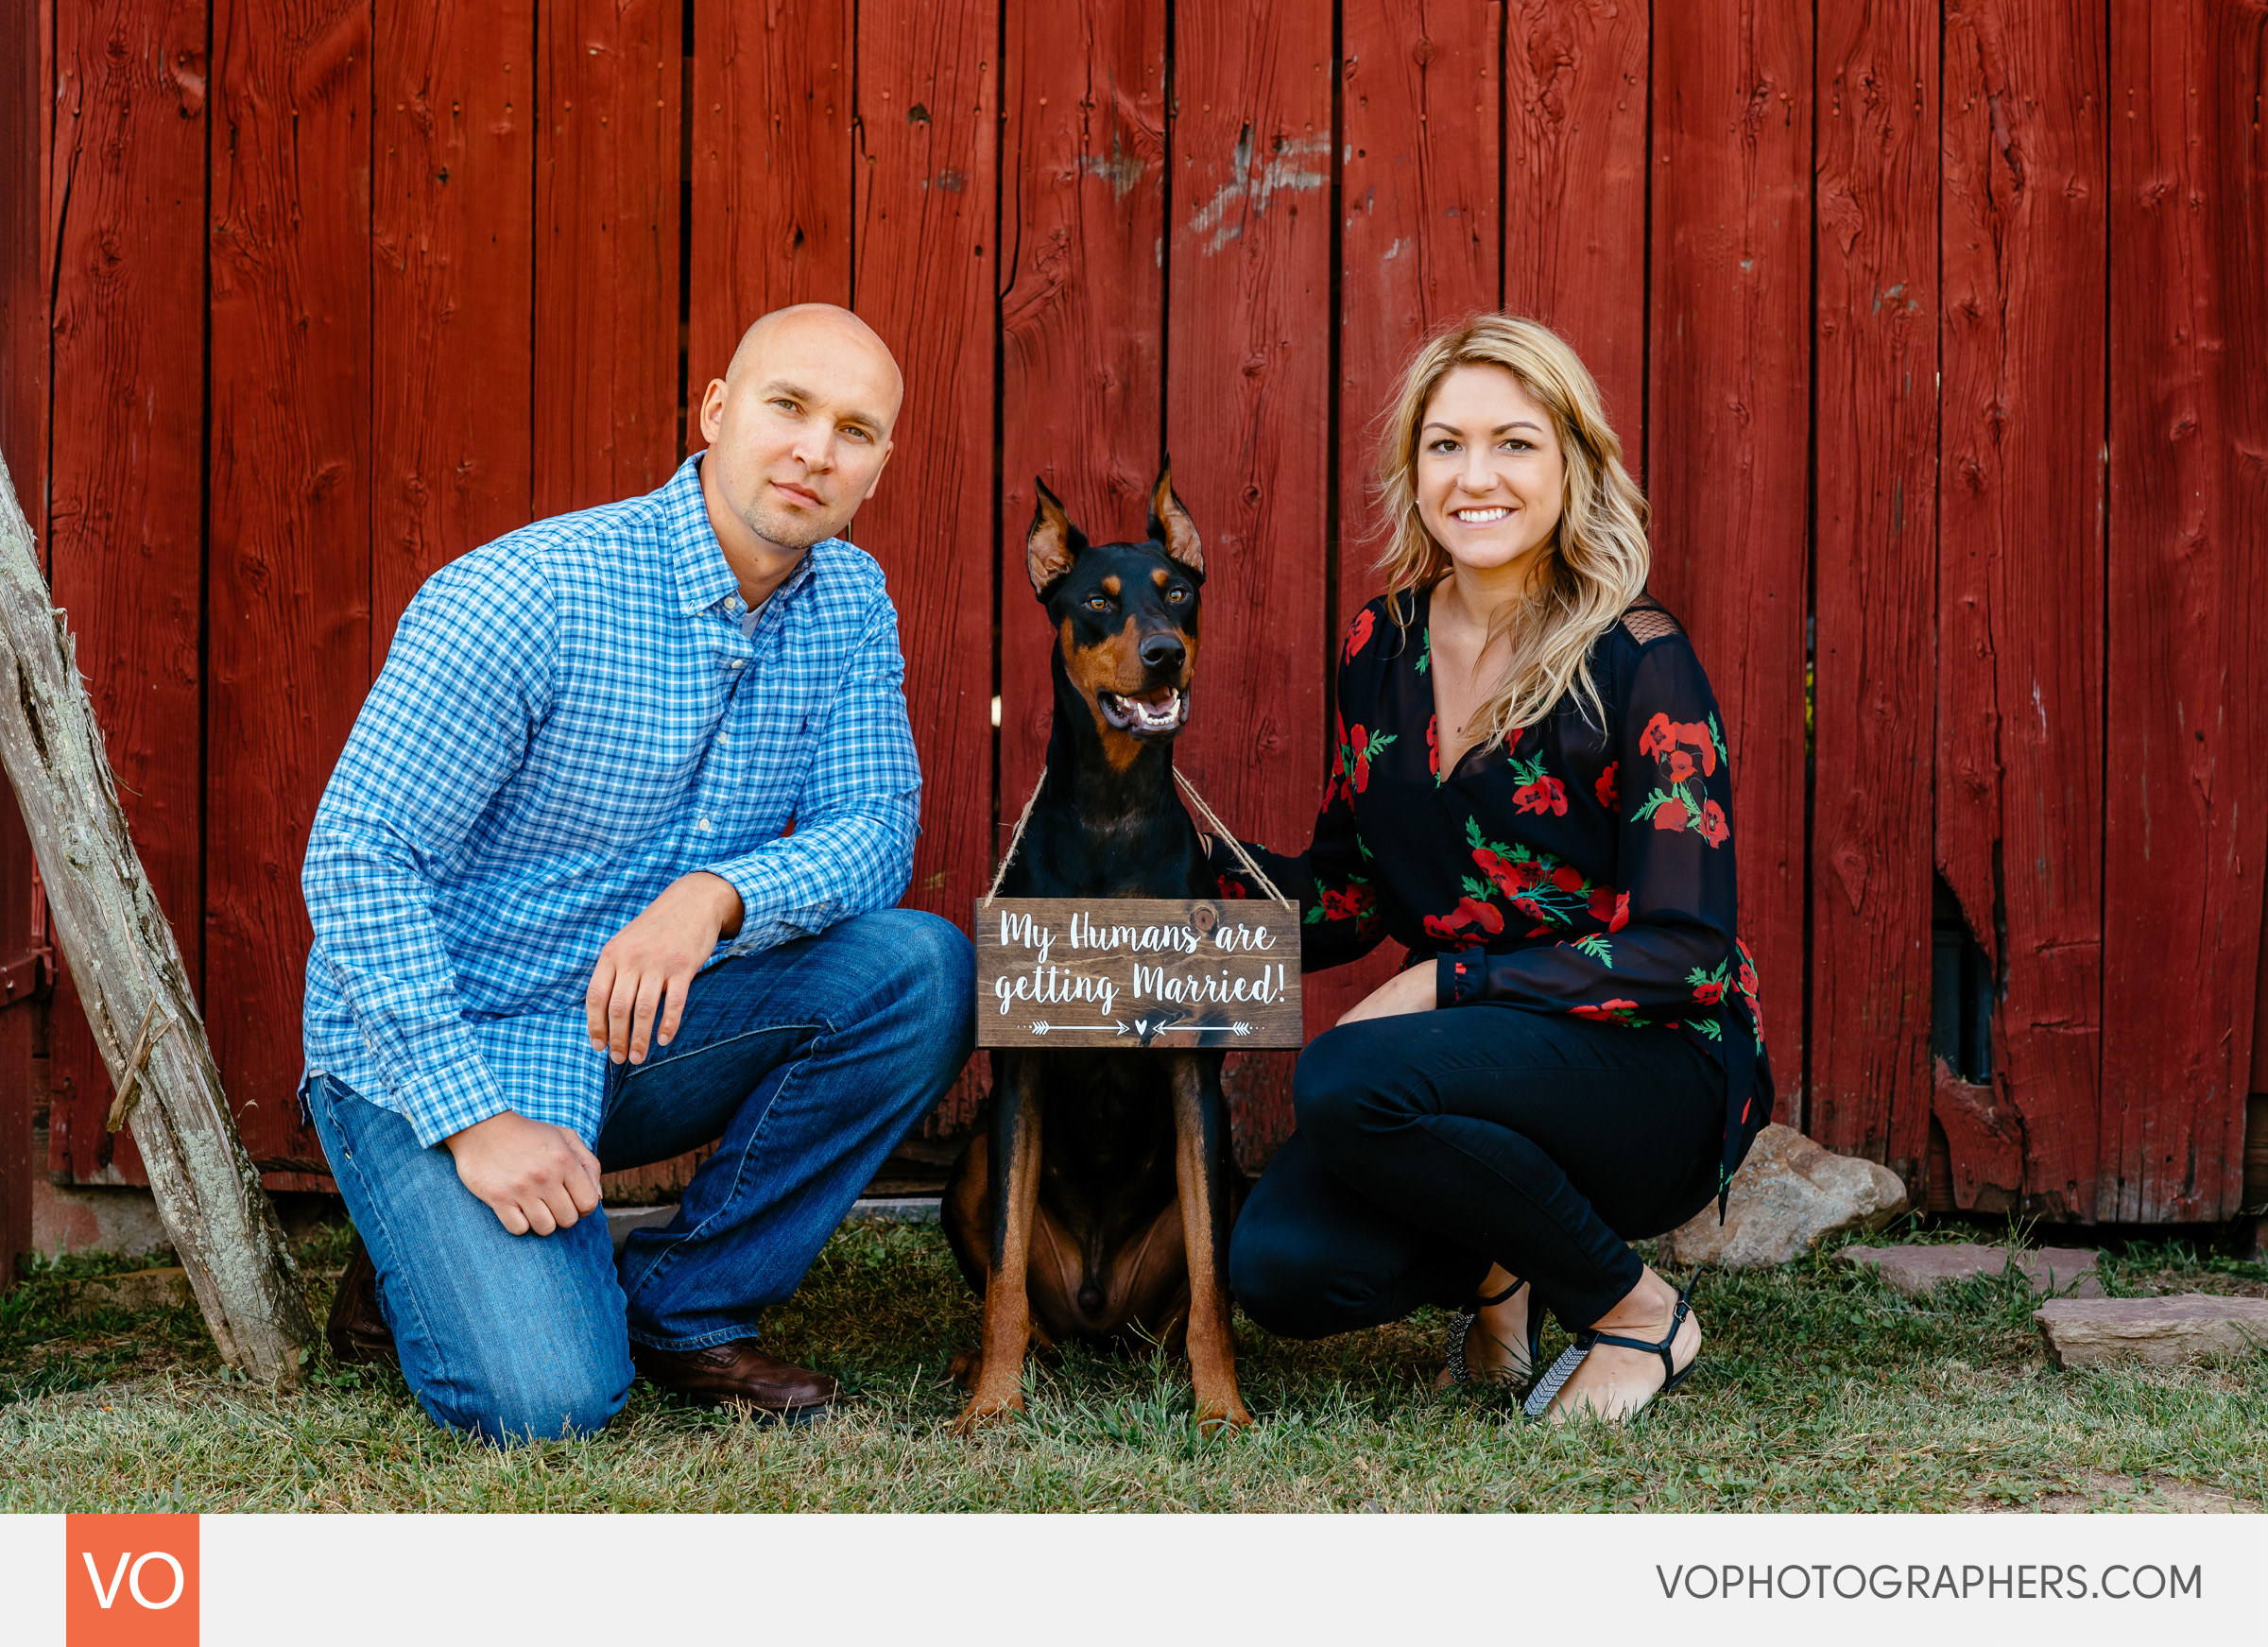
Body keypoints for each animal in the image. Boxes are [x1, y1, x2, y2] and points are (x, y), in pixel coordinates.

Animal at [943, 472, 1261, 1442]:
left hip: (1230, 1178)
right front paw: (992, 1403)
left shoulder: (1195, 1073)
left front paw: (1223, 1405)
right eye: (1095, 602)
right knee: (1021, 1290)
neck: (1114, 809)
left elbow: (1213, 1280)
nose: (1163, 653)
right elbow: (1005, 1275)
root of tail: (1095, 1307)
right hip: (968, 1166)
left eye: (1180, 591)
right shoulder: (1022, 1069)